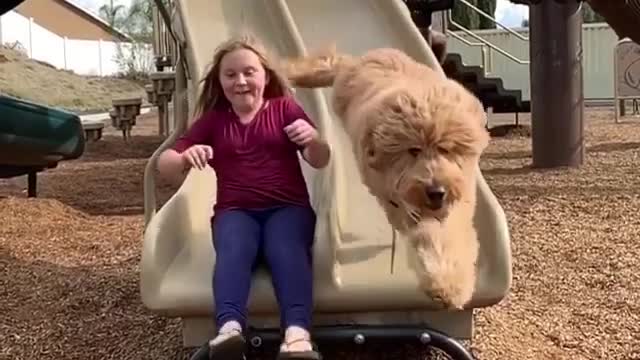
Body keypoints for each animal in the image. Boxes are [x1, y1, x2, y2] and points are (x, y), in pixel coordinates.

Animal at [282, 46, 490, 310]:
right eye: (413, 150)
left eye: (445, 149)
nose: (436, 191)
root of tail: (364, 59)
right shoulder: (403, 203)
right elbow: (430, 235)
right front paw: (443, 284)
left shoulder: (457, 201)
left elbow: (451, 233)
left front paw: (451, 284)